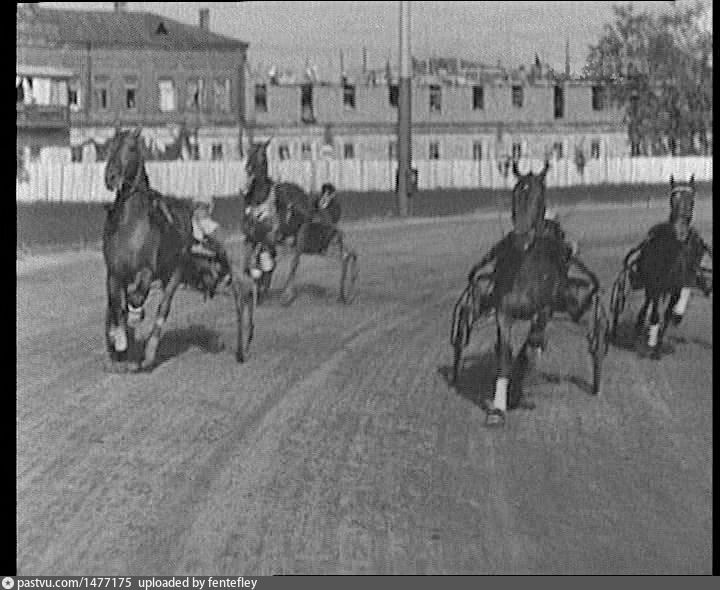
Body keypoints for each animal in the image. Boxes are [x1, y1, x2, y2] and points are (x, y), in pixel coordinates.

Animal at [101, 128, 253, 372]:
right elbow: (116, 305)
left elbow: (136, 297)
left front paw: (134, 320)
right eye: (110, 146)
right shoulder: (114, 273)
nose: (111, 176)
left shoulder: (147, 270)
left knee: (164, 308)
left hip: (176, 271)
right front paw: (119, 341)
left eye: (131, 148)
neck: (130, 224)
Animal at [245, 139, 358, 306]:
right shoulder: (253, 238)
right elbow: (253, 264)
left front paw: (271, 291)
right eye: (248, 152)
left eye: (262, 154)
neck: (261, 200)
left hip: (306, 237)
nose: (249, 169)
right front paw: (258, 291)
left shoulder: (272, 237)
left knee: (340, 257)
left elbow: (272, 264)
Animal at [616, 176, 712, 360]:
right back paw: (640, 327)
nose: (680, 232)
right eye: (672, 199)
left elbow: (667, 316)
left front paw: (658, 348)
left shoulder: (676, 288)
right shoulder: (655, 286)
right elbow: (654, 314)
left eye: (692, 201)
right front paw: (650, 341)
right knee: (647, 304)